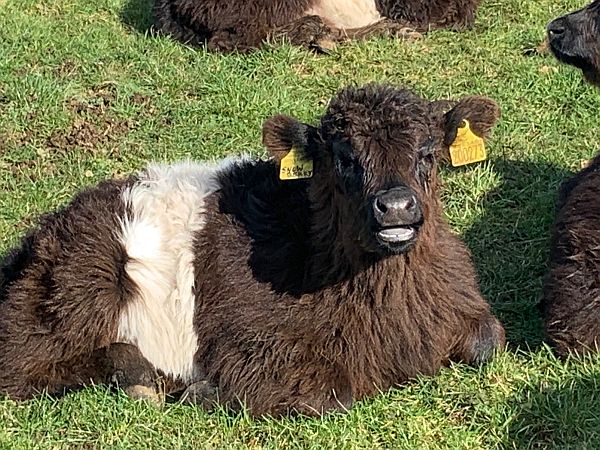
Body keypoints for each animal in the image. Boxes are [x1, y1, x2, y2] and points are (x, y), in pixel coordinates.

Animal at [0, 83, 504, 414]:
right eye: (344, 157)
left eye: (427, 153)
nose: (396, 206)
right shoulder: (250, 344)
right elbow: (329, 396)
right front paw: (205, 391)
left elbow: (490, 340)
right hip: (81, 289)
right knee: (23, 366)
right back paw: (139, 378)